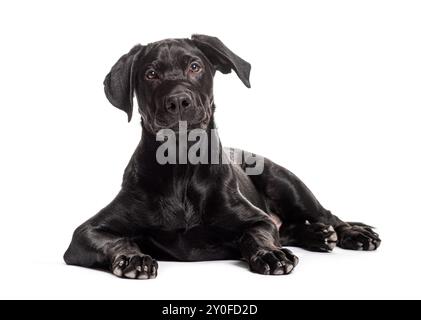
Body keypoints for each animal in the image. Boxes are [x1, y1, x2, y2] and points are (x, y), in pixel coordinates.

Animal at [63, 35, 380, 278]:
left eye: (194, 66)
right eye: (150, 74)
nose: (178, 101)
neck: (180, 167)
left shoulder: (258, 220)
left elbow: (256, 235)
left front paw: (269, 254)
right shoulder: (85, 232)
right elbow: (115, 242)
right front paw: (132, 257)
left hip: (287, 183)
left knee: (327, 215)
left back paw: (353, 234)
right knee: (291, 228)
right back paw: (318, 235)